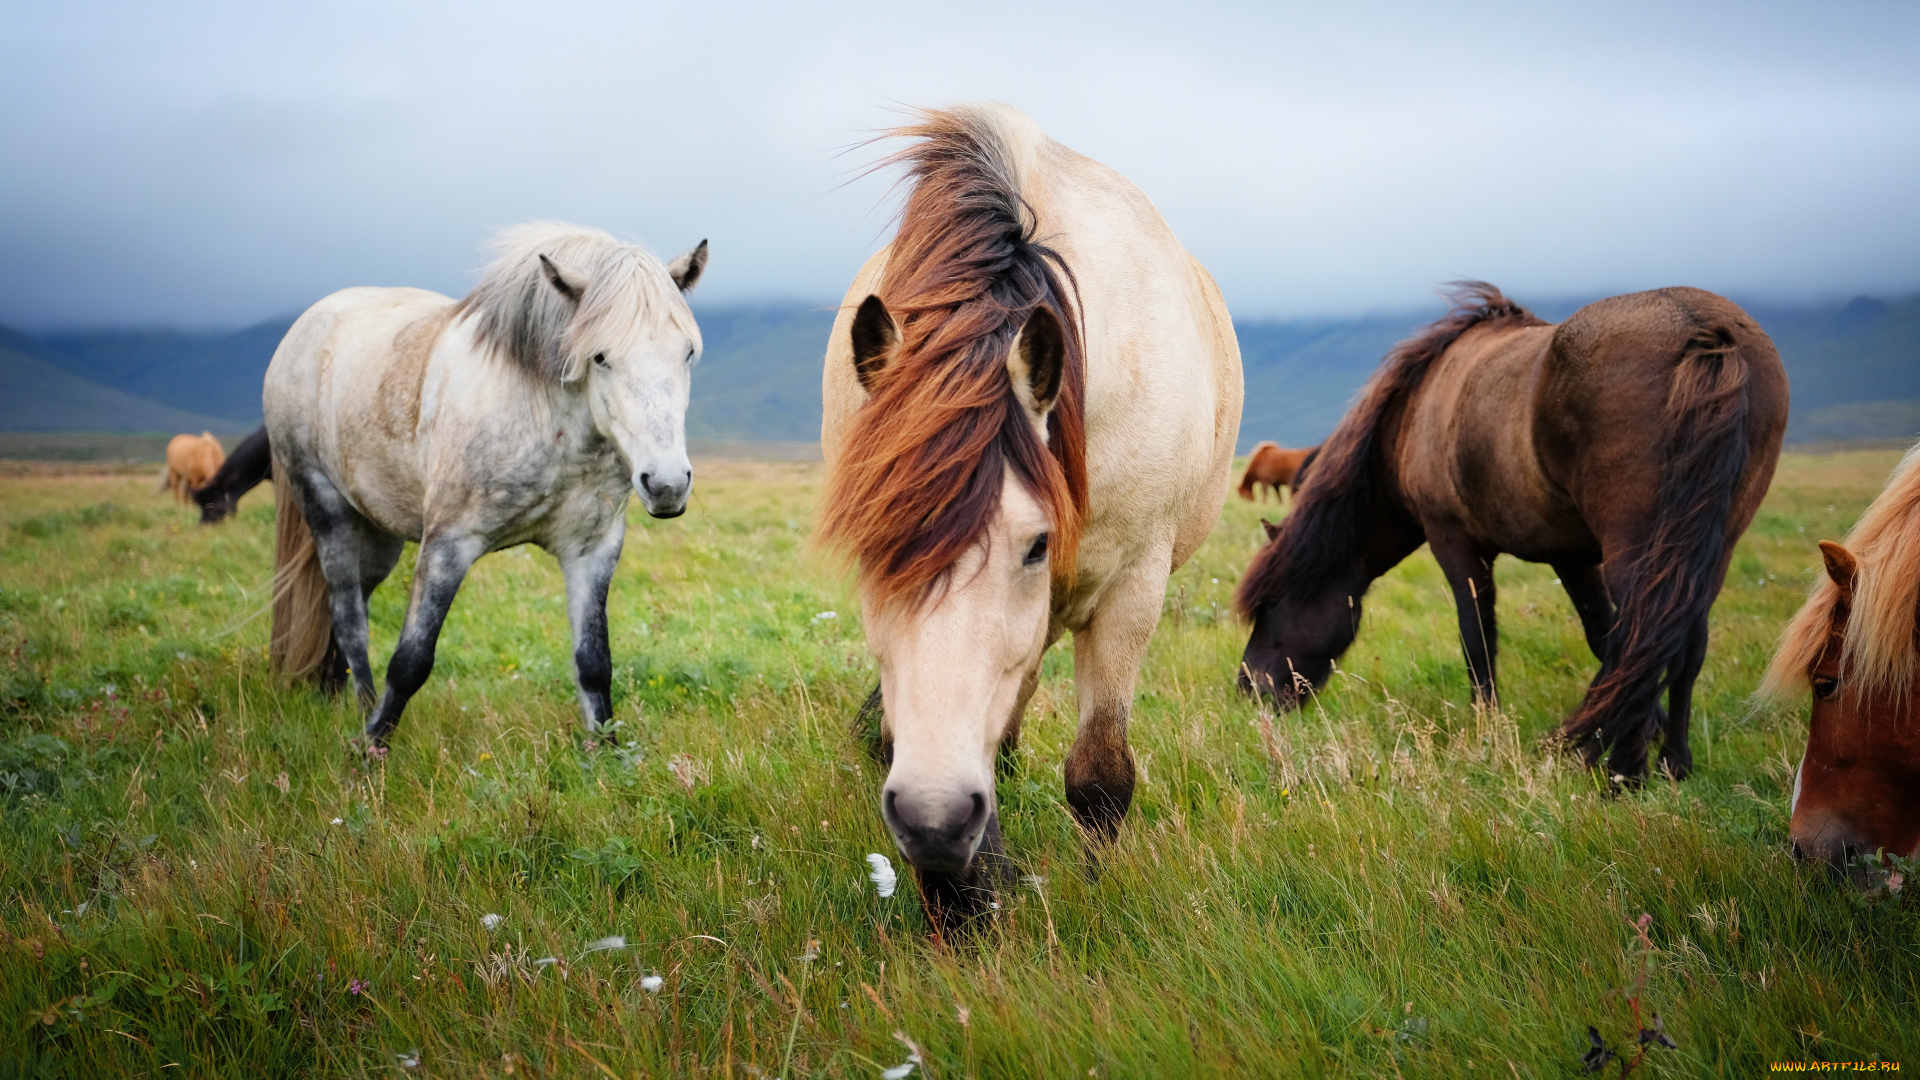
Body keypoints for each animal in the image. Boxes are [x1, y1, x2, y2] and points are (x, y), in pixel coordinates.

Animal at [266, 219, 710, 737]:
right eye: (600, 357)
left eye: (687, 353)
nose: (667, 484)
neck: (545, 420)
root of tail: (302, 331)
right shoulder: (448, 544)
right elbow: (411, 660)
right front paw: (370, 747)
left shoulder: (592, 550)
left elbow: (594, 664)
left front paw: (607, 754)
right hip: (328, 511)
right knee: (347, 615)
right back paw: (362, 710)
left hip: (377, 534)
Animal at [814, 102, 1236, 926]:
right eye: (868, 549)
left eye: (1036, 545)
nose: (933, 820)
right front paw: (960, 906)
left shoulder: (1133, 590)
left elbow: (1100, 772)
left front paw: (1093, 897)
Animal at [1236, 282, 1789, 776]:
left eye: (1270, 607)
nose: (1248, 690)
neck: (1418, 410)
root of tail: (1702, 331)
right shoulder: (1572, 556)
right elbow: (1601, 637)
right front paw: (1628, 725)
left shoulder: (1455, 543)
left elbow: (1478, 639)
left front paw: (1489, 731)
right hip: (1707, 552)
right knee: (1681, 643)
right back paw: (1673, 763)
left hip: (1640, 551)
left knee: (1646, 635)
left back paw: (1624, 774)